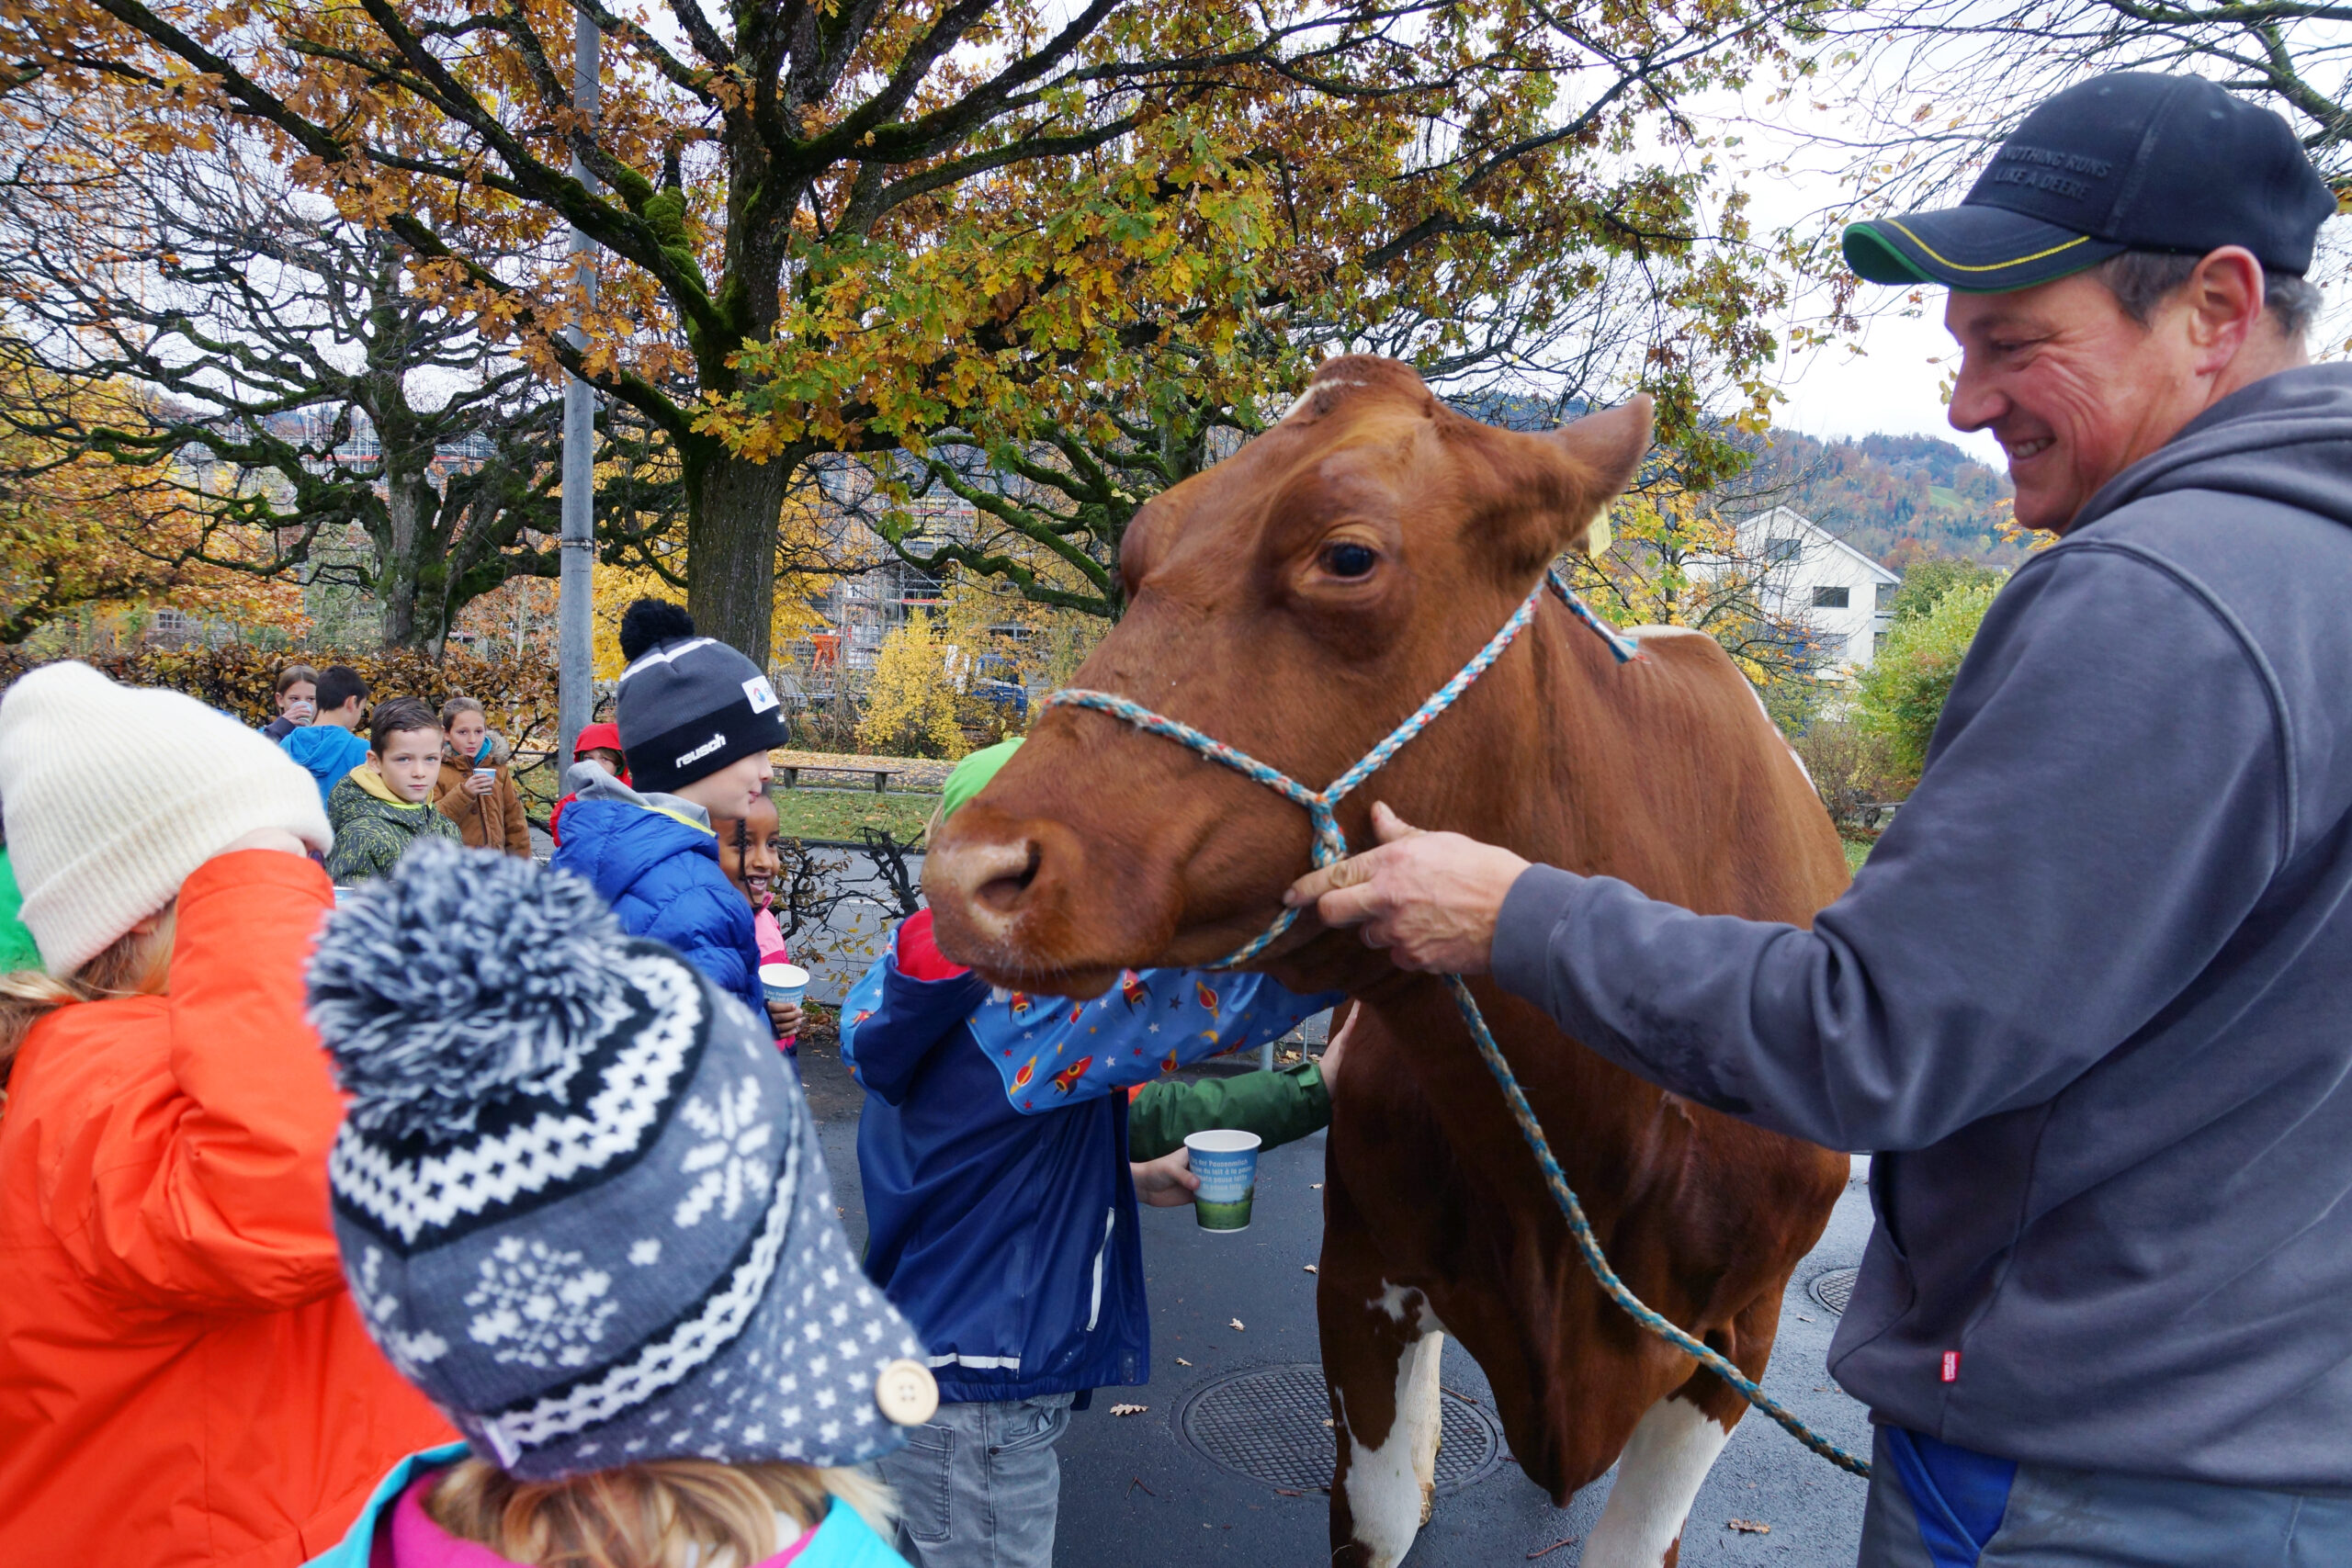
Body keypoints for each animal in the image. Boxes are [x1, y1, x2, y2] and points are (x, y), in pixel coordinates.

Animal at [917, 359, 1853, 1568]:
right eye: (1133, 556)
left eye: (1348, 557)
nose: (966, 871)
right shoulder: (1363, 1281)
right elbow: (1381, 1508)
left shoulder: (1736, 1340)